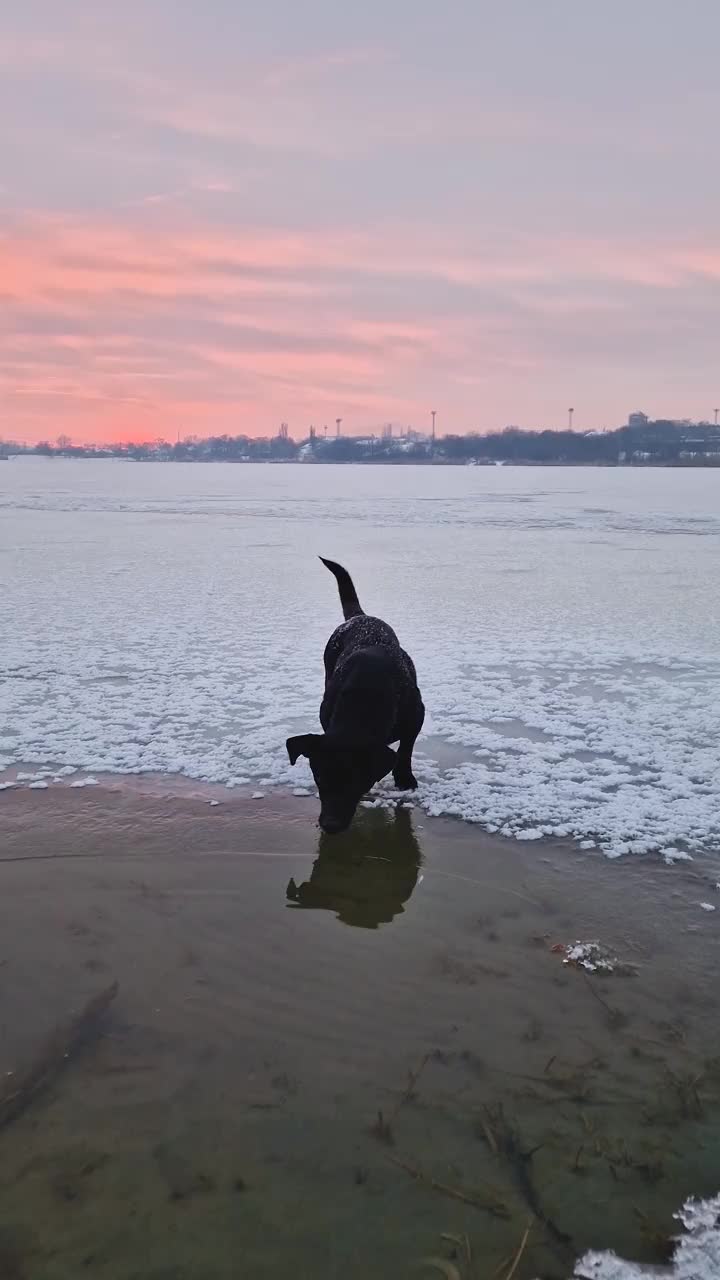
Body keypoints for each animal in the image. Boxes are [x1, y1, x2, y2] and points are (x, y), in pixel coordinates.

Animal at [284, 558, 422, 834]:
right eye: (319, 777)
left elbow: (407, 747)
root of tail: (359, 617)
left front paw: (404, 777)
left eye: (356, 780)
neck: (363, 700)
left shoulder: (416, 715)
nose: (330, 825)